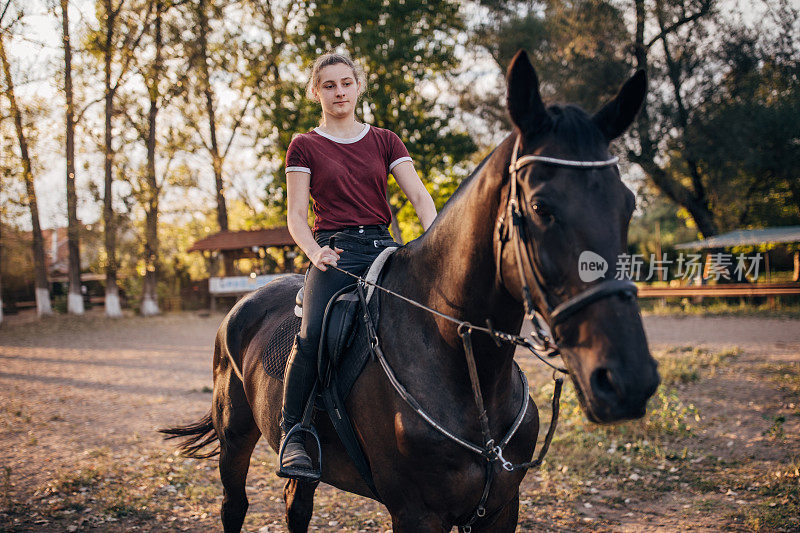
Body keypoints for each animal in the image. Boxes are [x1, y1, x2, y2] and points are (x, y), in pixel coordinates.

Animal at [161, 51, 656, 532]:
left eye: (629, 204)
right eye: (540, 206)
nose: (628, 380)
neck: (461, 365)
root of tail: (242, 305)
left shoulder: (500, 509)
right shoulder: (417, 513)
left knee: (295, 504)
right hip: (235, 434)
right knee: (234, 505)